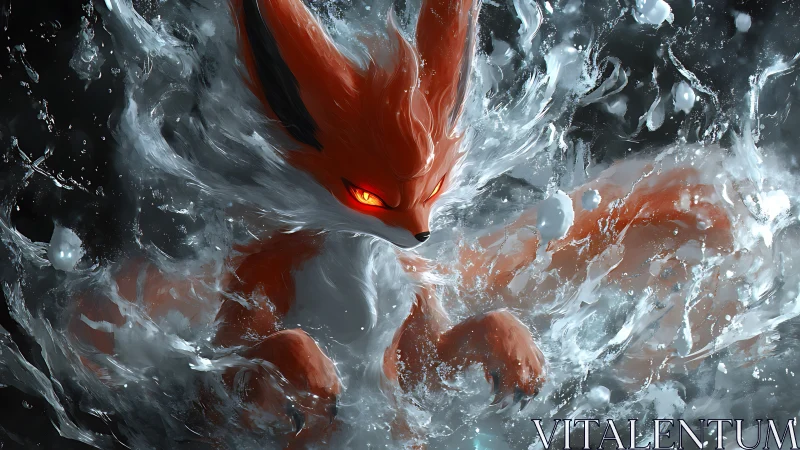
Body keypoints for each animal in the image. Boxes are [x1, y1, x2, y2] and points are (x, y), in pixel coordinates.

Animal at [68, 0, 739, 447]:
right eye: (366, 195)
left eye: (435, 185)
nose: (421, 234)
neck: (360, 269)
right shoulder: (250, 304)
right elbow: (239, 362)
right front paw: (311, 372)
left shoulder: (413, 311)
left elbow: (442, 354)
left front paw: (515, 351)